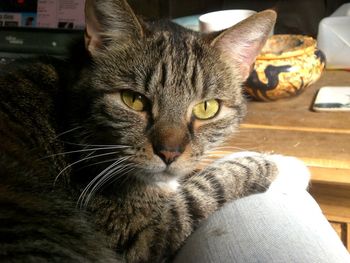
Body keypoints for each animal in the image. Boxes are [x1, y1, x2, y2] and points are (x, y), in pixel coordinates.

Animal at [0, 0, 286, 263]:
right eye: (133, 100)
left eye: (207, 108)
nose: (170, 153)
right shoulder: (143, 233)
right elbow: (207, 187)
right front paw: (262, 161)